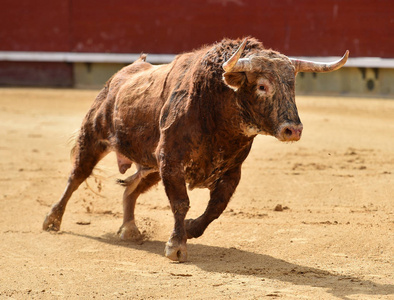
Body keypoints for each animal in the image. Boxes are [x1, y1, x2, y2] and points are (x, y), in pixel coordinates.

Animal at [43, 38, 348, 262]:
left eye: (292, 86)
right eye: (262, 85)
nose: (293, 130)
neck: (216, 107)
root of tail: (121, 75)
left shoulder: (231, 170)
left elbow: (216, 207)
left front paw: (190, 229)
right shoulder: (171, 160)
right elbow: (181, 203)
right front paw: (176, 247)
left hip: (151, 166)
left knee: (130, 191)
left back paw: (129, 229)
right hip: (94, 137)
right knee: (76, 177)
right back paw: (52, 220)